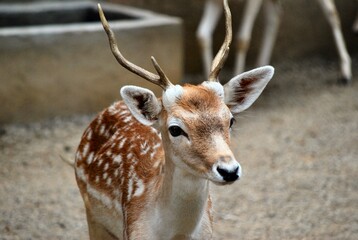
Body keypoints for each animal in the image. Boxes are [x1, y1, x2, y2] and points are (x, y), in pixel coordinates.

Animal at [75, 0, 274, 239]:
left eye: (231, 120)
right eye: (175, 129)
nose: (229, 171)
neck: (176, 233)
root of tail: (114, 105)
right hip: (91, 214)